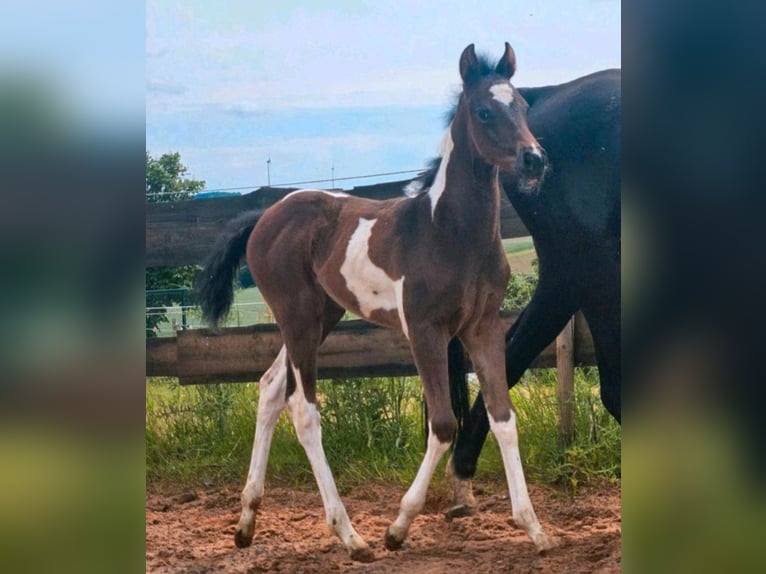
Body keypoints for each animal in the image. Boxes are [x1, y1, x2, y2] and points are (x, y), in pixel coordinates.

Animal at [196, 43, 556, 561]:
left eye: (524, 106)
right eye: (485, 111)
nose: (534, 160)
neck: (449, 233)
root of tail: (264, 216)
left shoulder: (482, 326)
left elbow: (502, 417)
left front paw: (534, 528)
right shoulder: (425, 331)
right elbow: (443, 423)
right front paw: (398, 528)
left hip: (319, 316)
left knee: (269, 388)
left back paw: (247, 523)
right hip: (297, 317)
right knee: (303, 410)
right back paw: (350, 536)